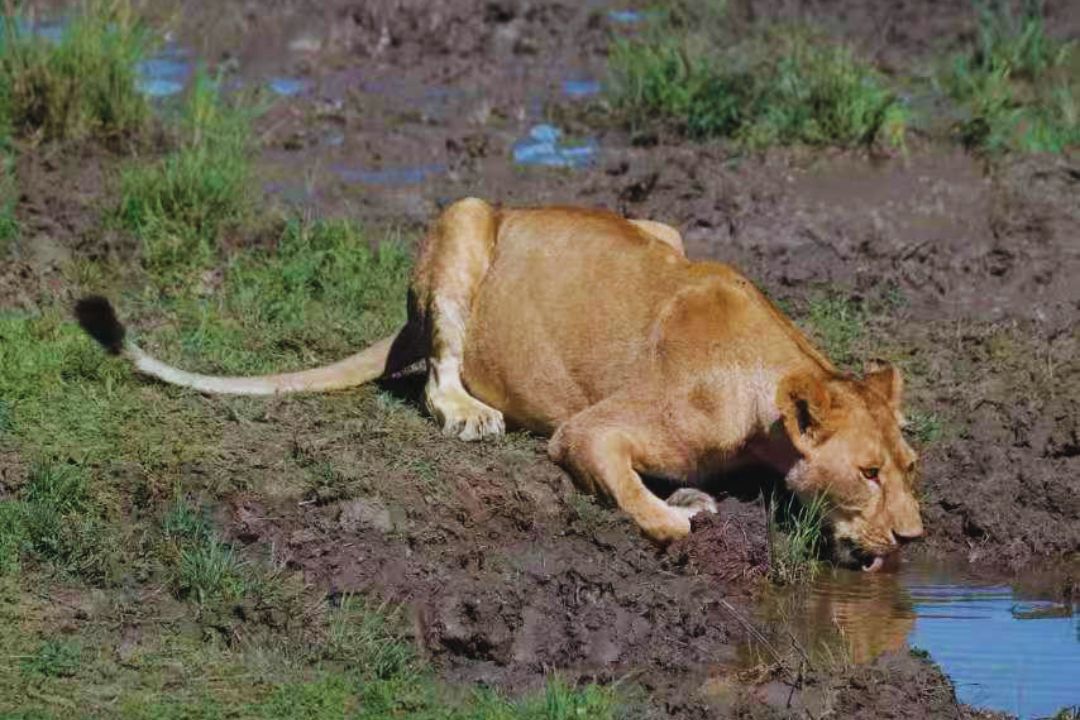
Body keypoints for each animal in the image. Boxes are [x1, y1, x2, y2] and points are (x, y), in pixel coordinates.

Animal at [76, 199, 923, 570]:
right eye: (867, 473)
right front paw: (674, 513)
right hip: (464, 217)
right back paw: (468, 414)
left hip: (660, 229)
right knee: (435, 371)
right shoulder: (589, 429)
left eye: (908, 469)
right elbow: (632, 491)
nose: (914, 538)